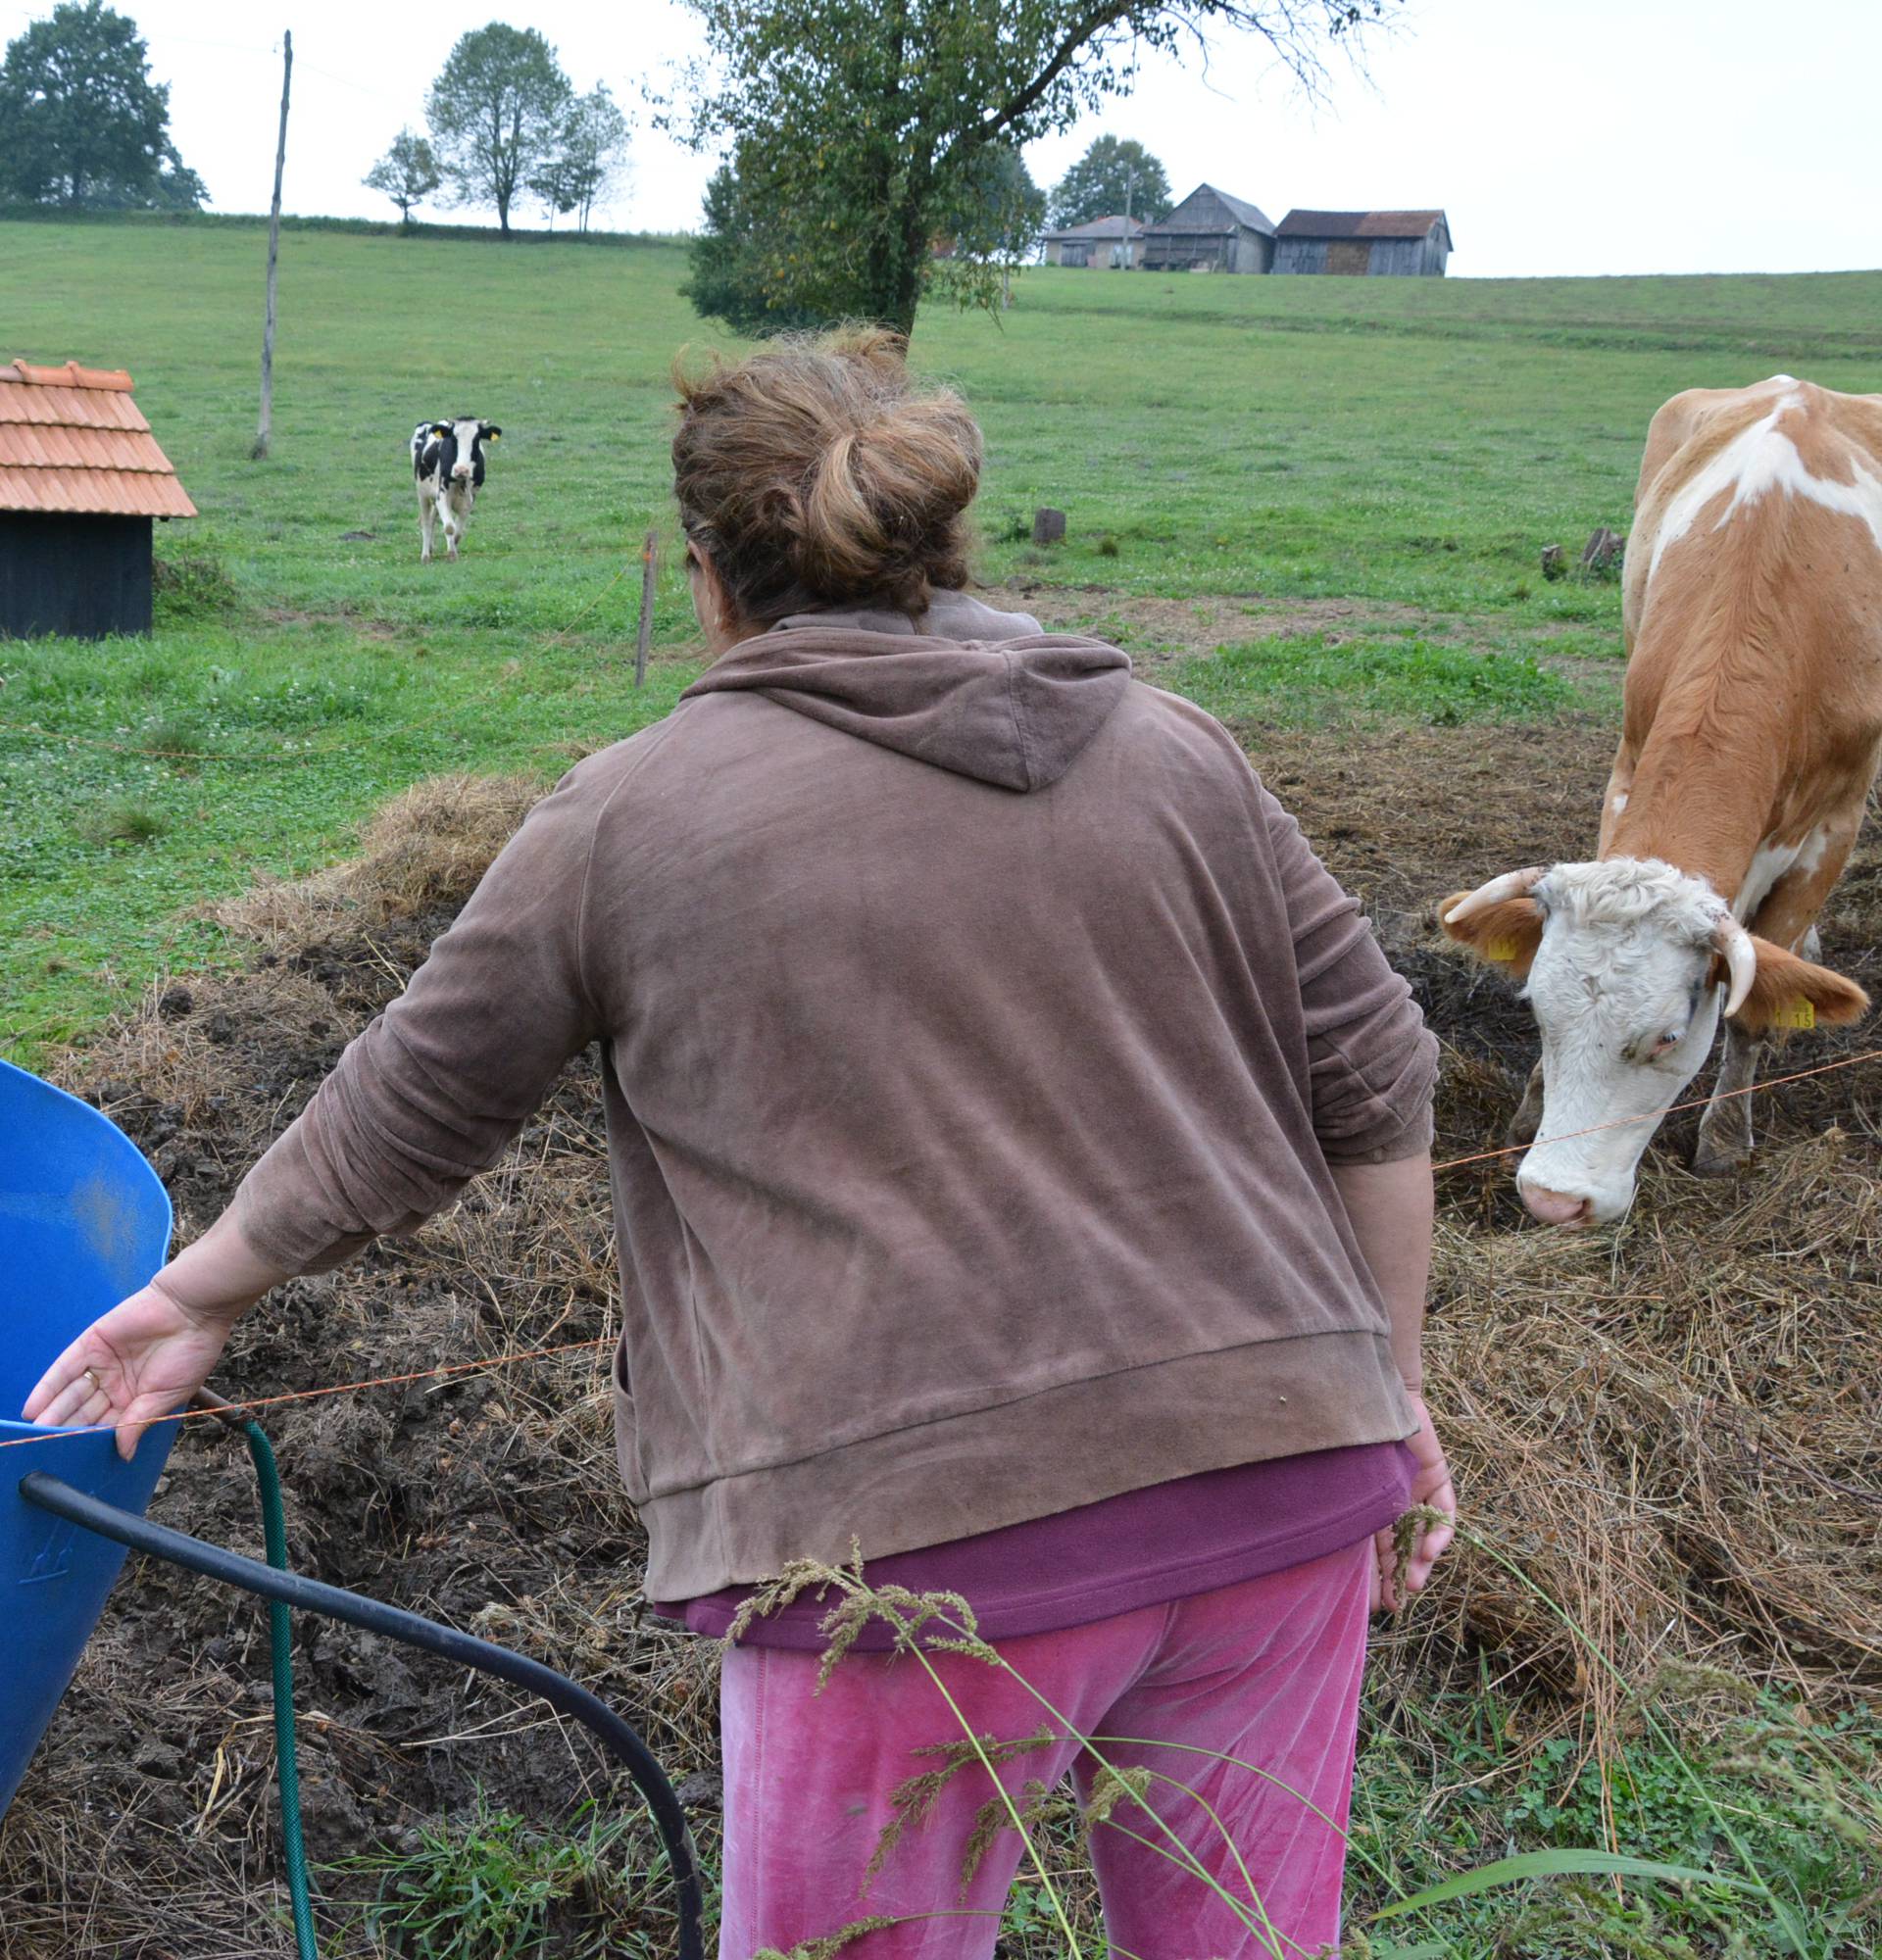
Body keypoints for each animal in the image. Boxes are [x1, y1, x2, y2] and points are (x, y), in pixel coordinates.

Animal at [410, 417, 500, 564]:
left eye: (476, 439)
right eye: (453, 438)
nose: (461, 470)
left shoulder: (470, 499)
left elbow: (458, 532)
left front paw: (454, 551)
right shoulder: (442, 496)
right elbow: (449, 527)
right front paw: (451, 554)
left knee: (433, 519)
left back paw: (431, 549)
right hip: (422, 493)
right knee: (426, 522)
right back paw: (425, 555)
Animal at [1443, 372, 1866, 1215]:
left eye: (1669, 1036)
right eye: (1535, 1006)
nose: (1552, 1199)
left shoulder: (1838, 818)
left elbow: (1756, 1018)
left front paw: (1725, 1142)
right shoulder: (1630, 760)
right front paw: (1533, 1102)